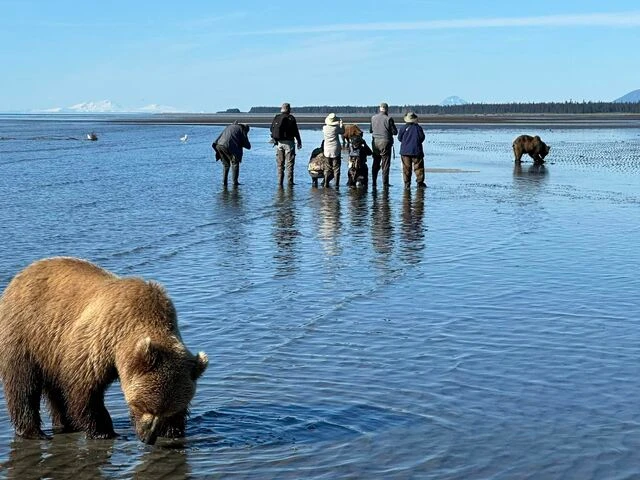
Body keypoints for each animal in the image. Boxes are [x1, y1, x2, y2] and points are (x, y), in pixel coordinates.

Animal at [0, 257, 208, 445]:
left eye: (167, 410)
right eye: (143, 406)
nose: (148, 438)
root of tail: (20, 275)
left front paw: (173, 430)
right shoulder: (96, 342)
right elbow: (85, 390)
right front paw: (104, 432)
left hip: (52, 350)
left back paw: (65, 424)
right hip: (26, 334)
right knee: (23, 386)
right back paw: (34, 432)